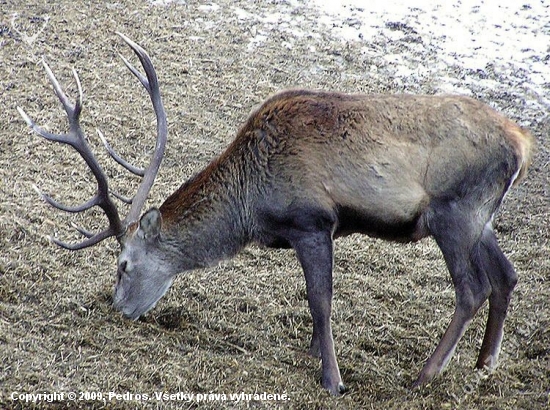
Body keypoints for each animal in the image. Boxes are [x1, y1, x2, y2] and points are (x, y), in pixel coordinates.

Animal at [20, 36, 536, 398]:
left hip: (454, 211)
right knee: (507, 275)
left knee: (472, 288)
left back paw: (424, 376)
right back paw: (485, 363)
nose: (117, 308)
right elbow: (314, 301)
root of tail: (521, 145)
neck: (253, 203)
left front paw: (332, 378)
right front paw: (314, 352)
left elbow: (320, 300)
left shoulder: (311, 221)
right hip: (482, 218)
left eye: (123, 265)